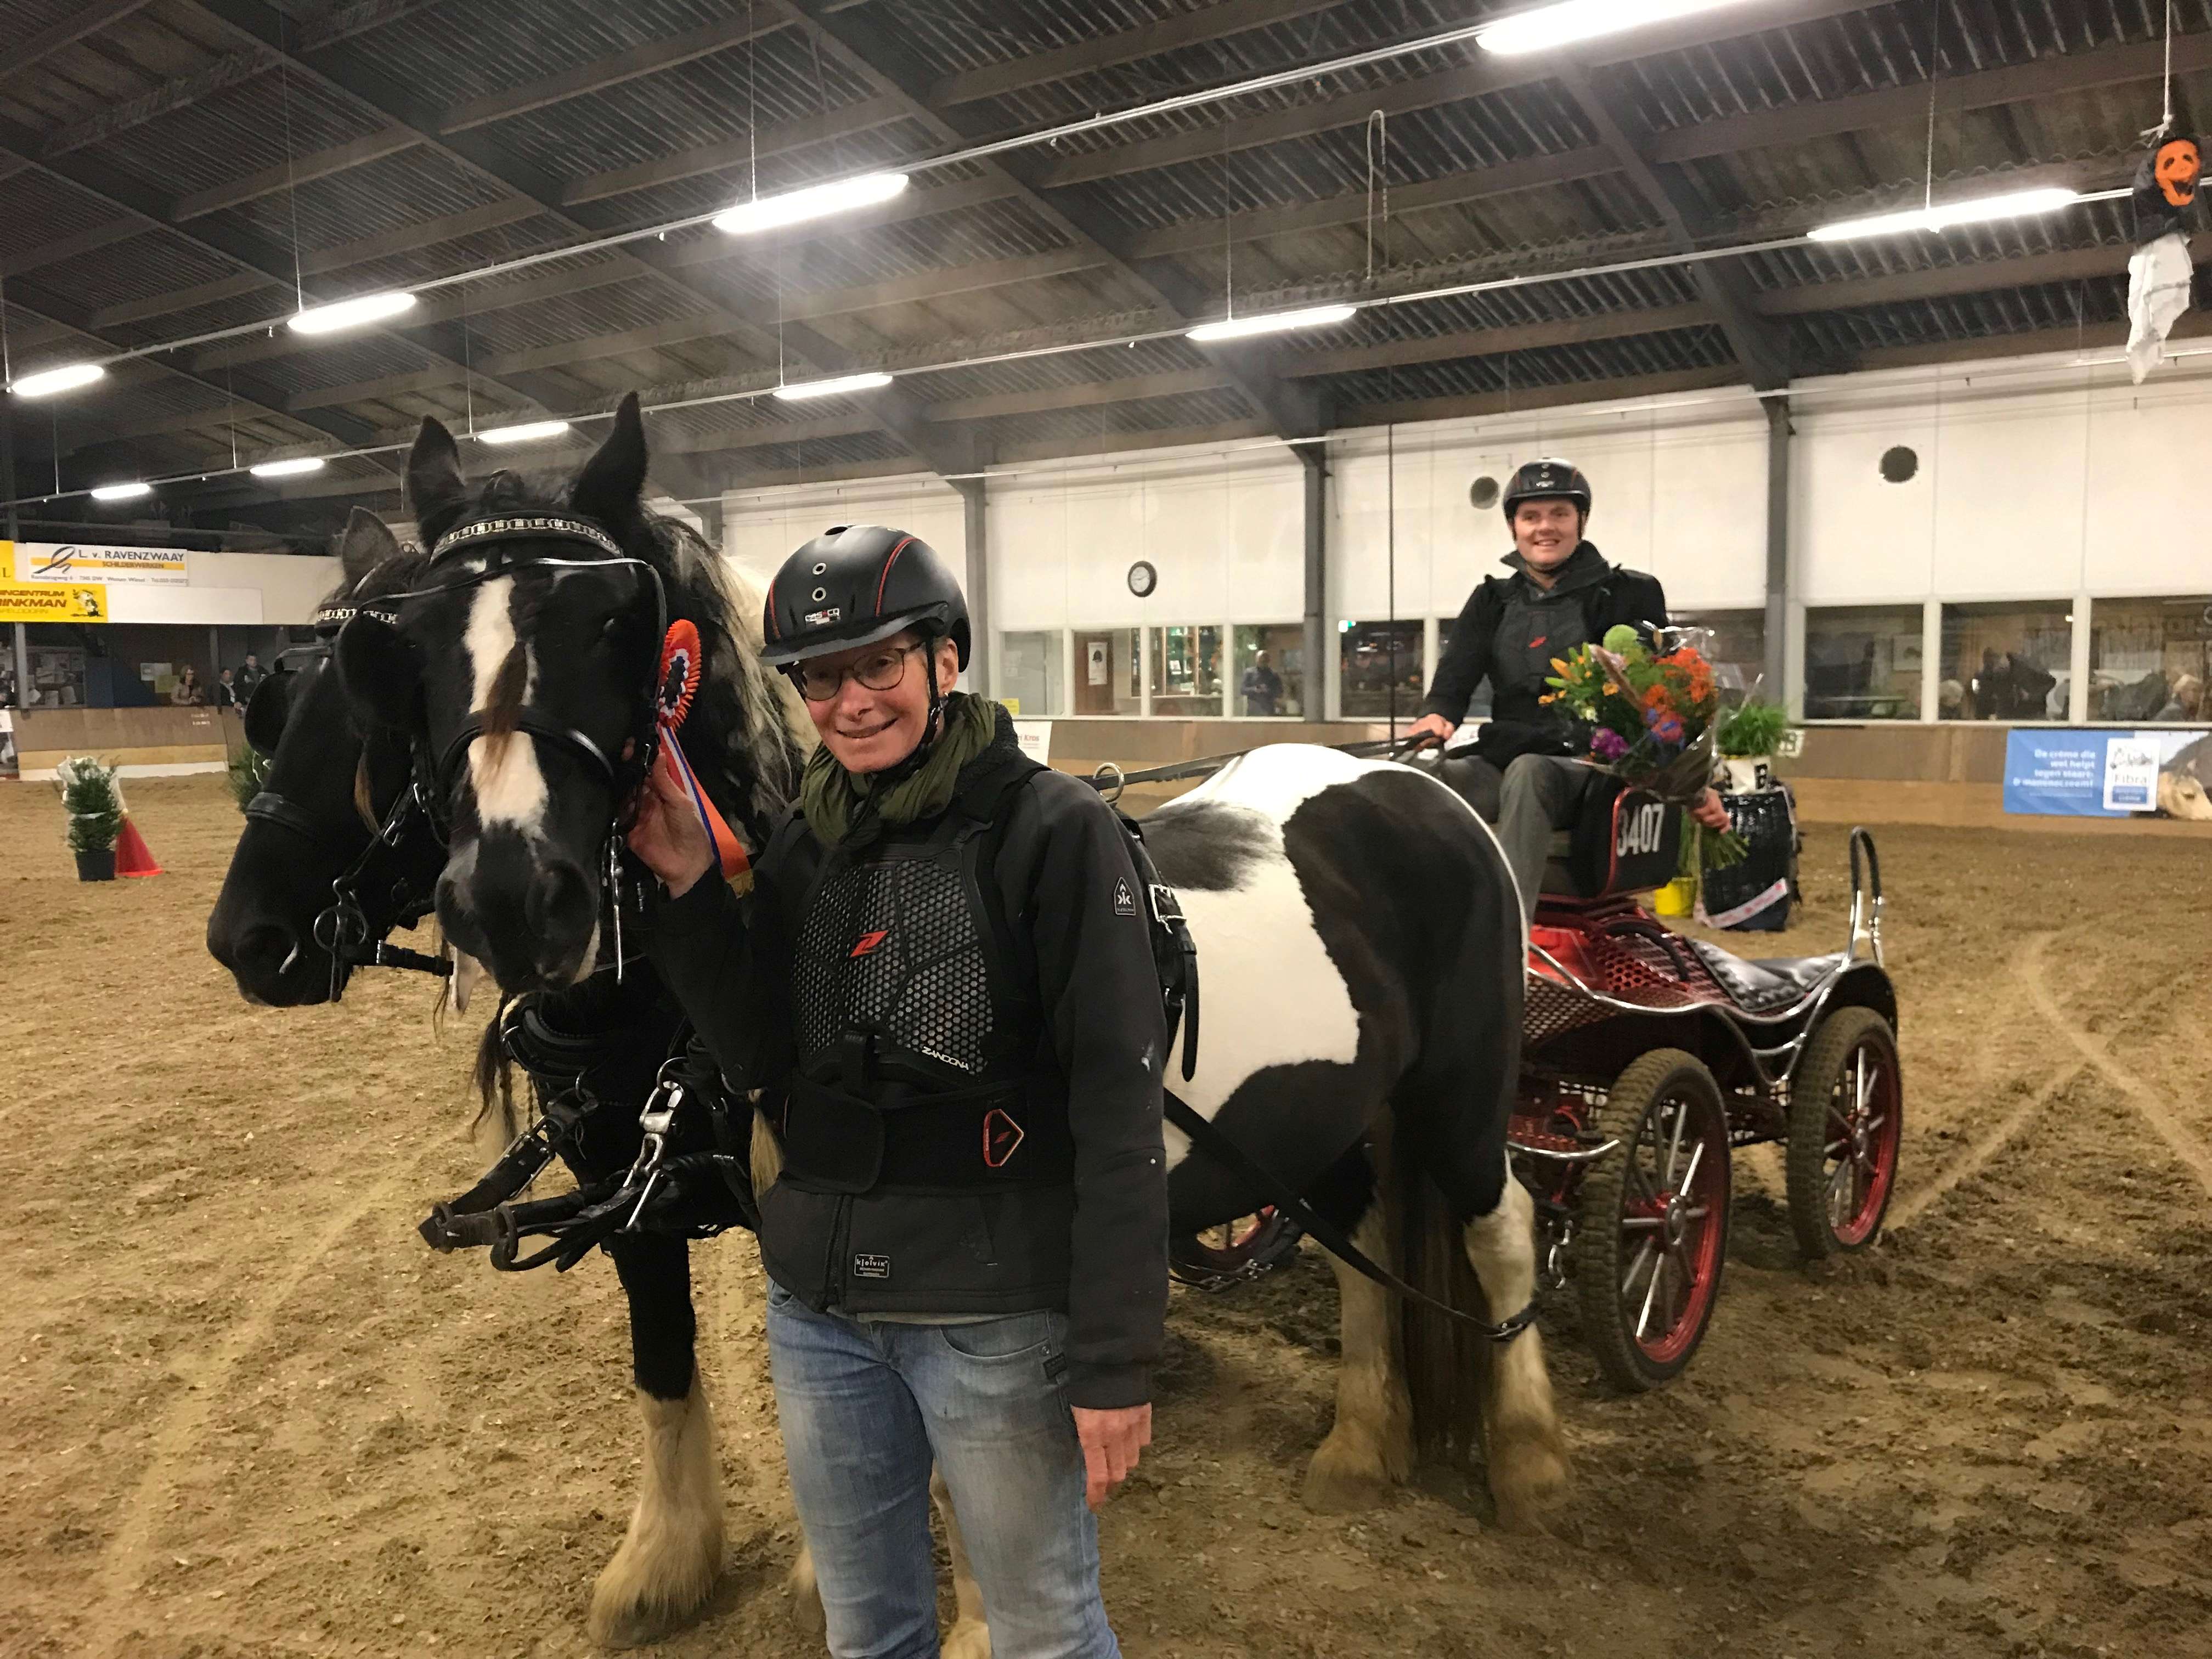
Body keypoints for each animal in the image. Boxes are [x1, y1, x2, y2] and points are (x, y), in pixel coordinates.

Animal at [333, 398, 1569, 1535]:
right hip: (1328, 1109)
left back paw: (1526, 1459)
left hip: (1460, 1089)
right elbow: (665, 1365)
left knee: (1499, 1229)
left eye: (614, 624)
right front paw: (665, 1565)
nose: (509, 898)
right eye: (408, 646)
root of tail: (1419, 783)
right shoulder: (635, 1206)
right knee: (1365, 1235)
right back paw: (1361, 1446)